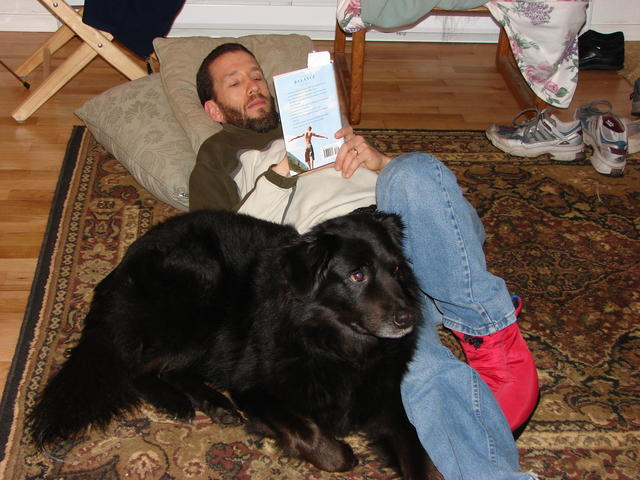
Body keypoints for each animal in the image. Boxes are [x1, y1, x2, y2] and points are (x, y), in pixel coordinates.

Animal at [32, 208, 438, 478]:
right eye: (357, 275)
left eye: (397, 269)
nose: (408, 319)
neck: (337, 346)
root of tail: (121, 265)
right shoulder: (253, 388)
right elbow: (311, 434)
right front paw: (341, 453)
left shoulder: (387, 405)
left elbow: (421, 455)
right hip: (204, 290)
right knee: (137, 368)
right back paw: (178, 401)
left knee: (172, 369)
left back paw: (214, 403)